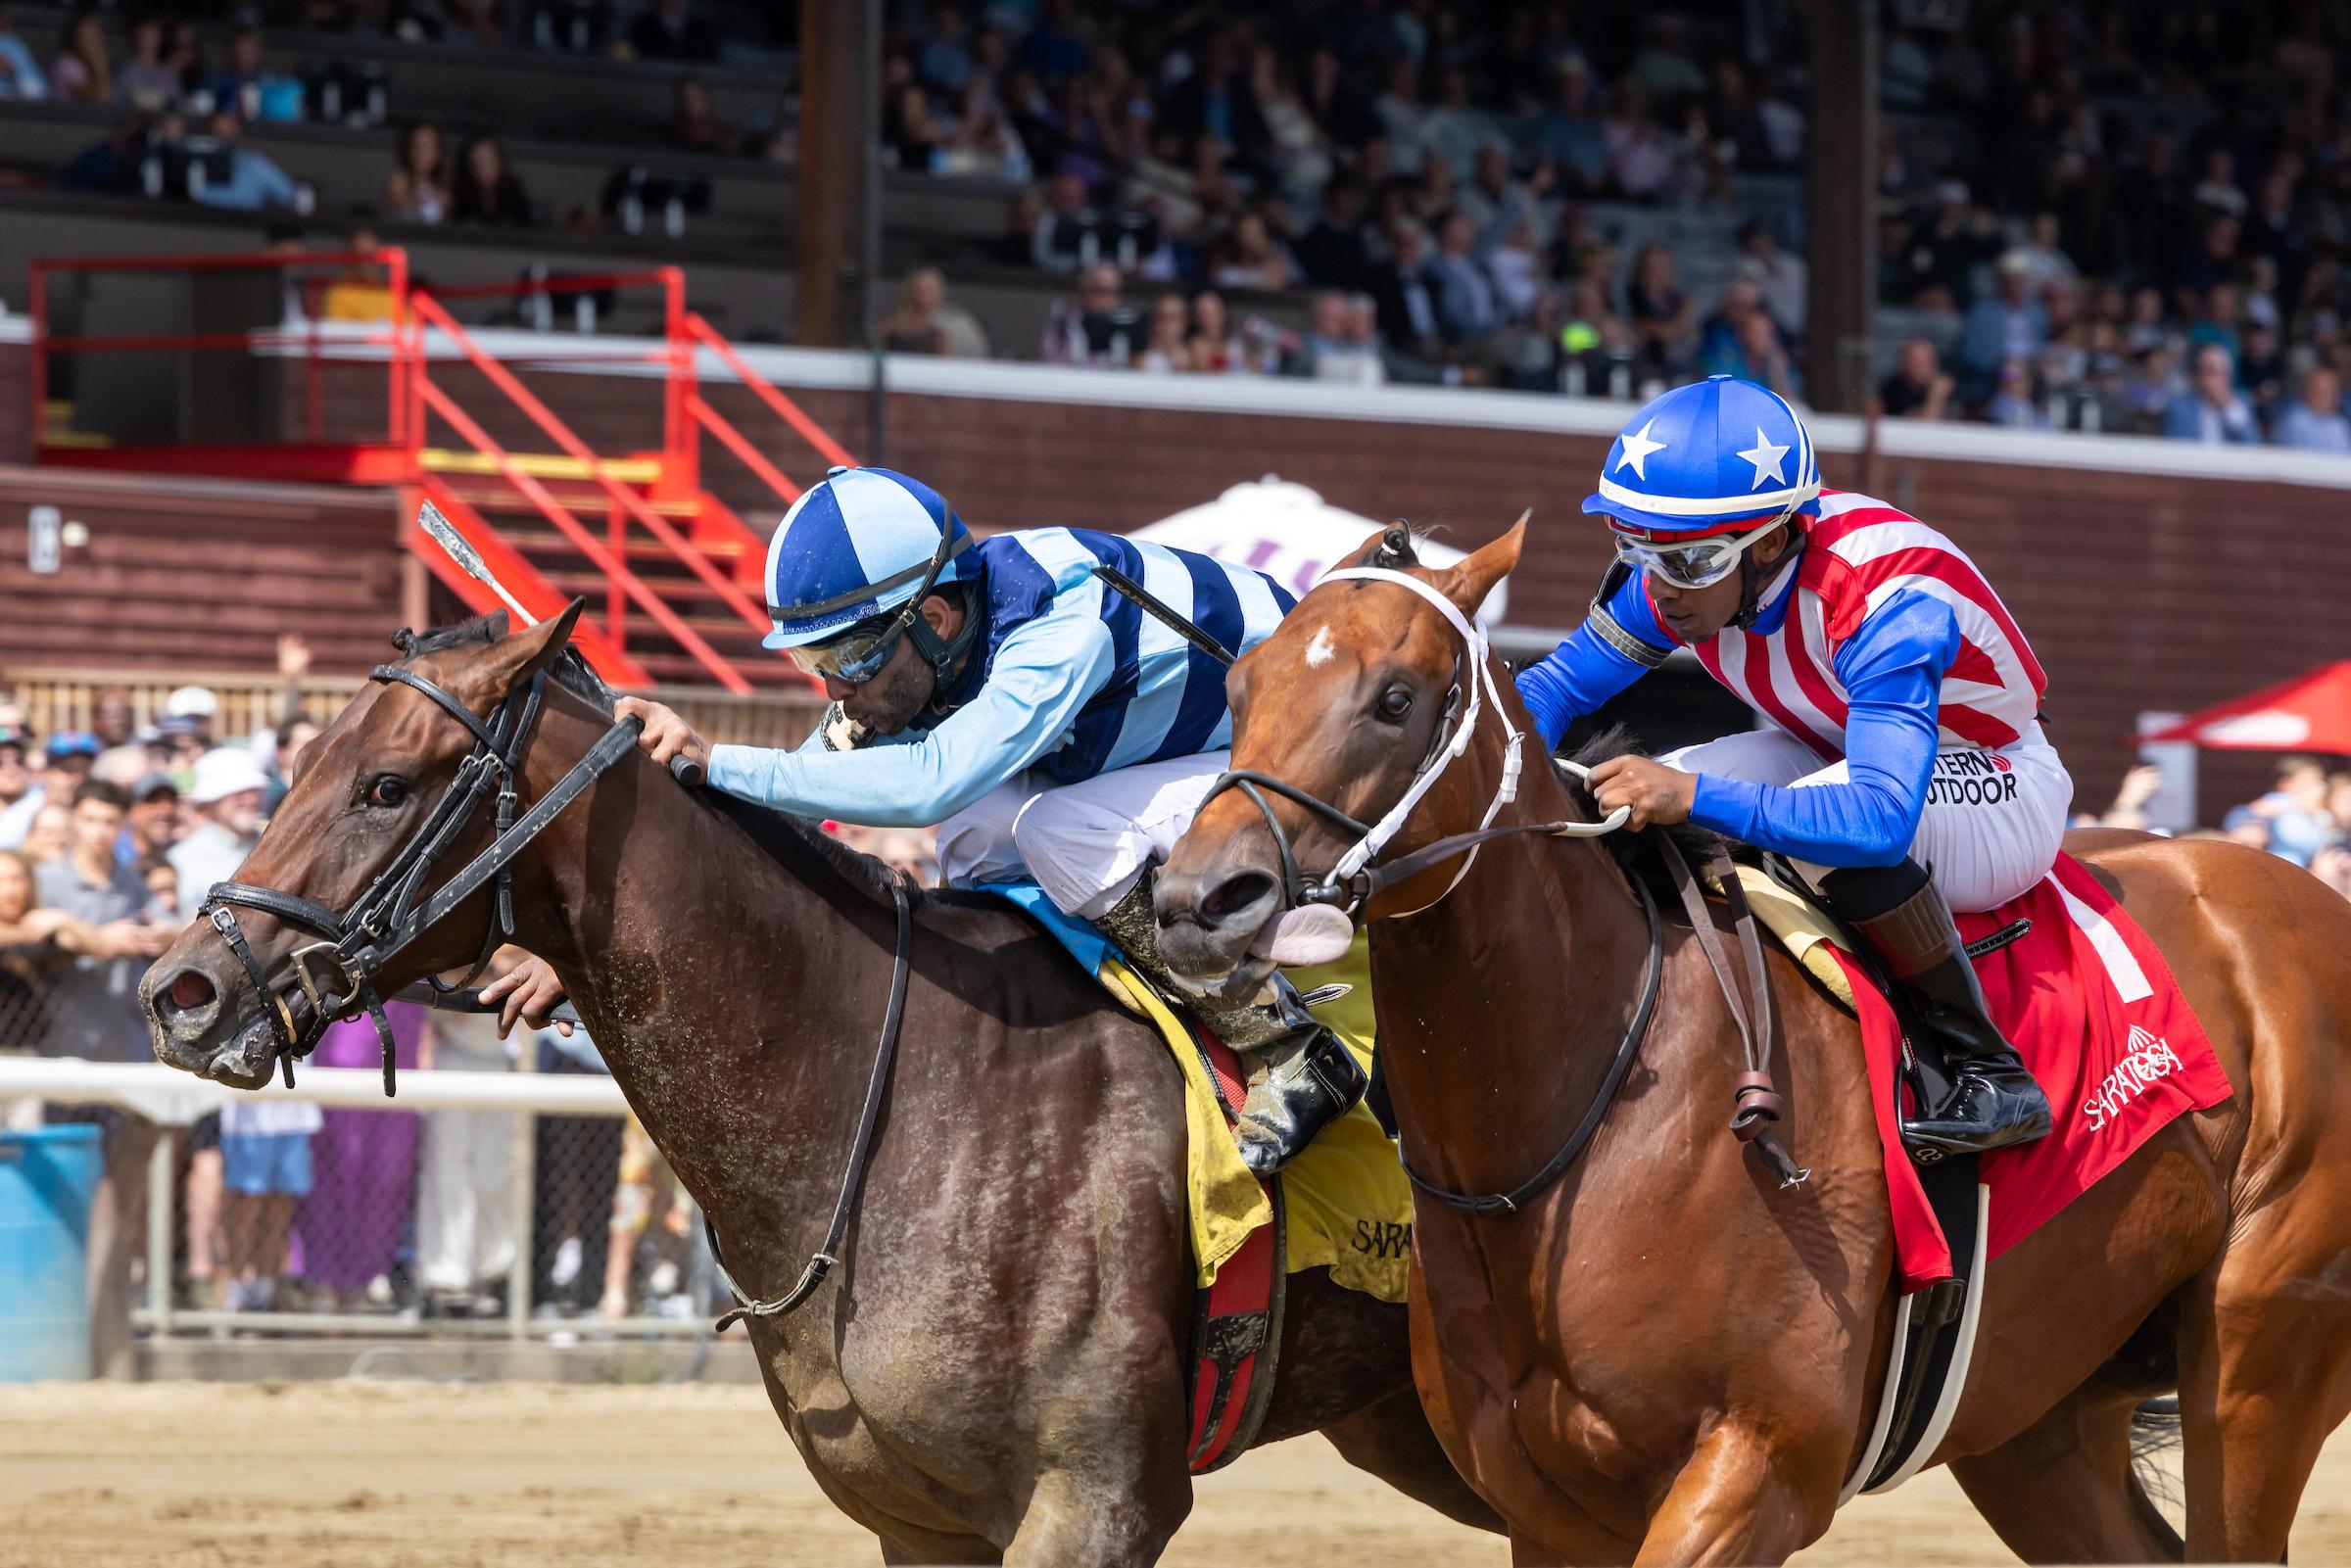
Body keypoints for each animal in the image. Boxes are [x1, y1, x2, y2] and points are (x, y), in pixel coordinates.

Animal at [137, 604, 1500, 1565]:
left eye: (386, 783)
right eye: (305, 756)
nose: (179, 988)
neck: (906, 1101)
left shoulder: (1098, 1497)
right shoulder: (920, 1517)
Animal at [1152, 519, 2351, 1564]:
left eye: (1394, 699)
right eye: (1238, 686)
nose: (1196, 899)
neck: (1579, 1105)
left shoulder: (1756, 1464)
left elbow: (1876, 808)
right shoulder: (1546, 1501)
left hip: (2255, 1353)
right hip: (2039, 1407)